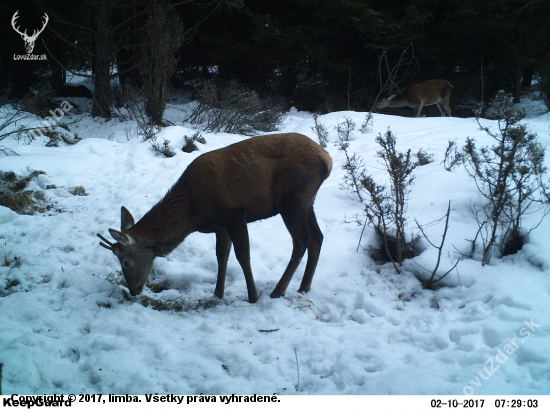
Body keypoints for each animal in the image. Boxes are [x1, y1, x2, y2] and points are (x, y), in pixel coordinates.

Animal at [97, 132, 334, 302]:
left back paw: (278, 291)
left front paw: (252, 296)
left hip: (292, 199)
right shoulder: (220, 225)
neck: (194, 212)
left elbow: (243, 255)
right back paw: (304, 288)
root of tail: (328, 160)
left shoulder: (235, 214)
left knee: (301, 240)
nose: (133, 290)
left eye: (125, 261)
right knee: (317, 237)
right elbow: (222, 256)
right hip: (307, 202)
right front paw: (218, 293)